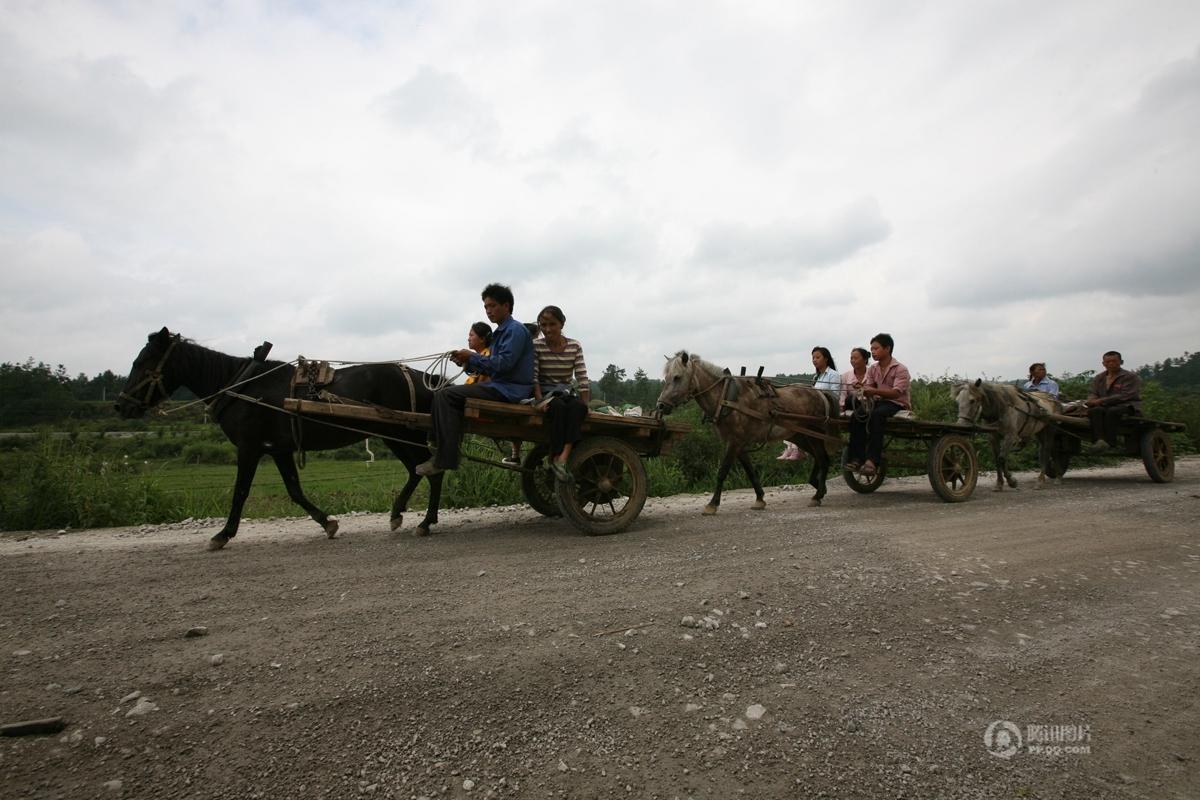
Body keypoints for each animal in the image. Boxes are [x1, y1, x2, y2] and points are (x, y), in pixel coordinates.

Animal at [115, 326, 446, 551]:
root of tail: (423, 377)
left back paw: (425, 522)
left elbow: (240, 492)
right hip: (392, 434)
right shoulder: (279, 450)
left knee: (432, 471)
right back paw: (398, 513)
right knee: (417, 470)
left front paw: (223, 534)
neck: (242, 387)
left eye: (143, 361)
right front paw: (327, 522)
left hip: (402, 433)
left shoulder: (249, 448)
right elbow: (294, 490)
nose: (120, 406)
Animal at [652, 350, 840, 513]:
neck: (726, 398)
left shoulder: (735, 442)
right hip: (800, 436)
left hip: (813, 434)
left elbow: (722, 471)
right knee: (819, 458)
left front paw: (712, 504)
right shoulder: (739, 443)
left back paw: (817, 495)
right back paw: (819, 488)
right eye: (666, 378)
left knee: (823, 459)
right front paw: (760, 499)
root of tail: (820, 393)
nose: (660, 406)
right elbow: (750, 471)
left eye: (677, 377)